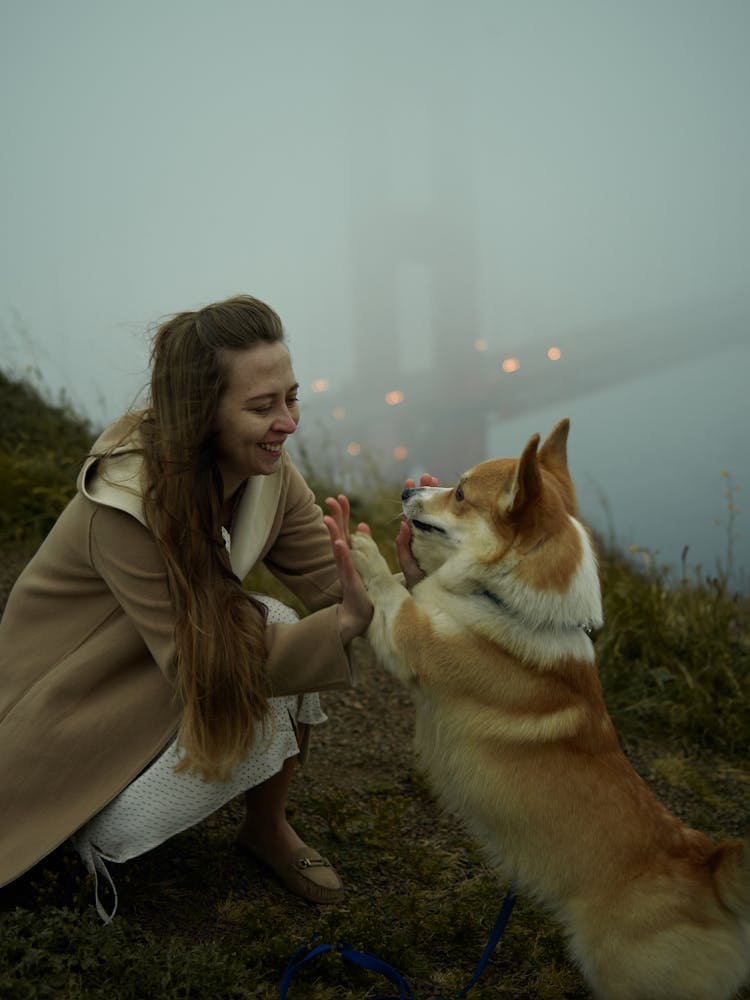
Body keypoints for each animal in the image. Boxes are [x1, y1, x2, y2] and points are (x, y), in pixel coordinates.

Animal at [352, 420, 750, 1000]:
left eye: (461, 493)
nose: (406, 490)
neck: (508, 607)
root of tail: (709, 873)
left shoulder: (412, 643)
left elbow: (393, 591)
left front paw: (361, 548)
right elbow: (411, 585)